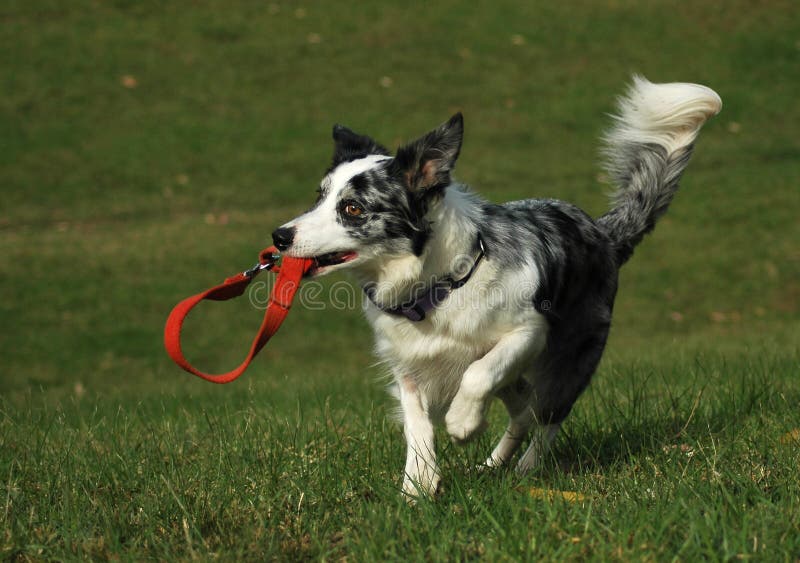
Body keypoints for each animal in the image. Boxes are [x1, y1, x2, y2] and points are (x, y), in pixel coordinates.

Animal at [272, 76, 720, 498]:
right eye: (320, 197)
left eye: (352, 208)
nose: (279, 236)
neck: (436, 287)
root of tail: (604, 232)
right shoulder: (409, 366)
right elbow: (417, 427)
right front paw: (417, 487)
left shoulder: (528, 331)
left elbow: (478, 372)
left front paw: (462, 424)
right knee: (522, 411)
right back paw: (492, 465)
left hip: (573, 358)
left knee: (546, 416)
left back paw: (526, 469)